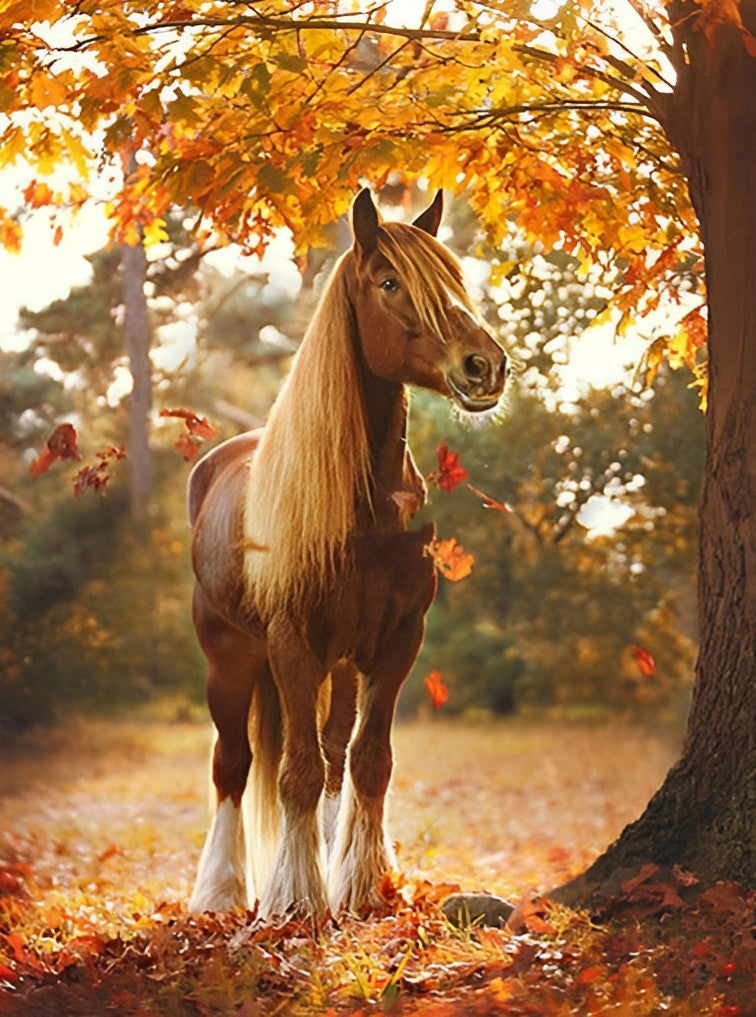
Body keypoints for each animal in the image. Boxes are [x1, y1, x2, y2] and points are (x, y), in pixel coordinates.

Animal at [188, 188, 507, 919]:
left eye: (455, 278)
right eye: (389, 282)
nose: (485, 366)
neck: (367, 511)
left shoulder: (396, 642)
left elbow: (368, 761)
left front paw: (359, 885)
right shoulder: (291, 641)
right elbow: (296, 770)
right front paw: (295, 900)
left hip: (336, 664)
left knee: (333, 754)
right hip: (230, 657)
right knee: (232, 765)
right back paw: (220, 891)